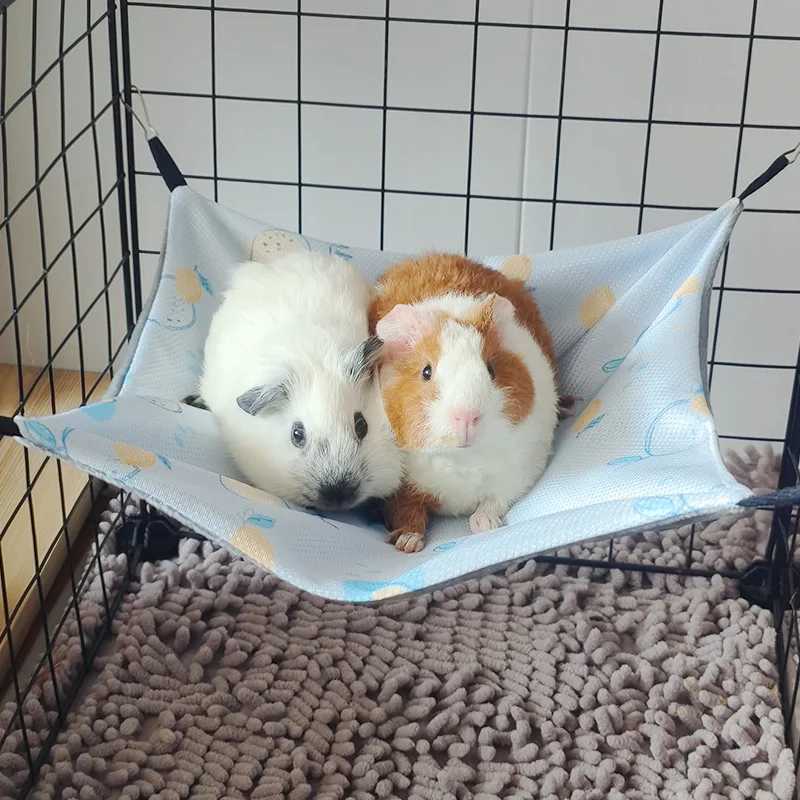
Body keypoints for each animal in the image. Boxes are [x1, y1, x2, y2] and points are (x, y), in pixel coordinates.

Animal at [369, 253, 558, 552]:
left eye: (491, 369)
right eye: (426, 371)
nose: (467, 417)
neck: (460, 459)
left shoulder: (519, 471)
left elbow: (494, 501)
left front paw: (484, 526)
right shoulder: (399, 488)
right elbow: (408, 511)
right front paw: (407, 543)